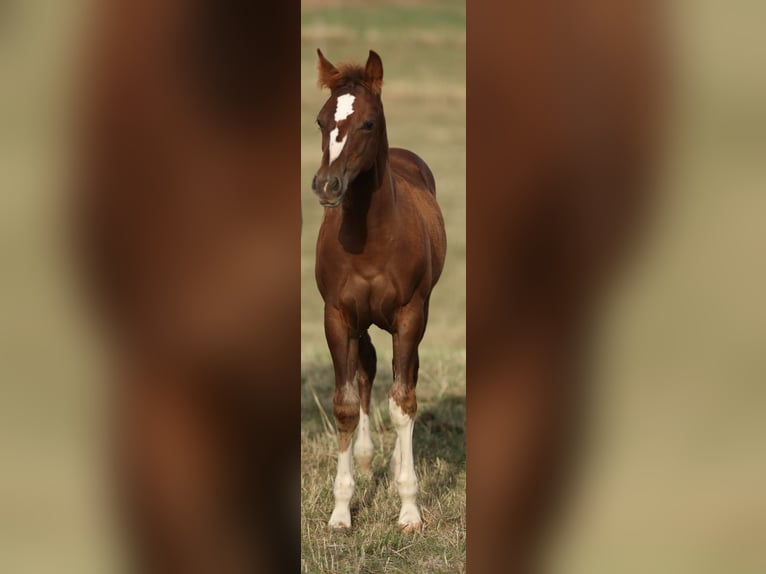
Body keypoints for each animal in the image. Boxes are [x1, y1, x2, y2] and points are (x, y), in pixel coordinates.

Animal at [311, 49, 447, 531]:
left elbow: (403, 402)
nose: (326, 185)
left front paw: (409, 509)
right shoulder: (337, 316)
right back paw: (369, 460)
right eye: (320, 120)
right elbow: (346, 403)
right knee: (367, 372)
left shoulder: (409, 315)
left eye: (368, 123)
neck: (370, 241)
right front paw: (340, 511)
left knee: (401, 378)